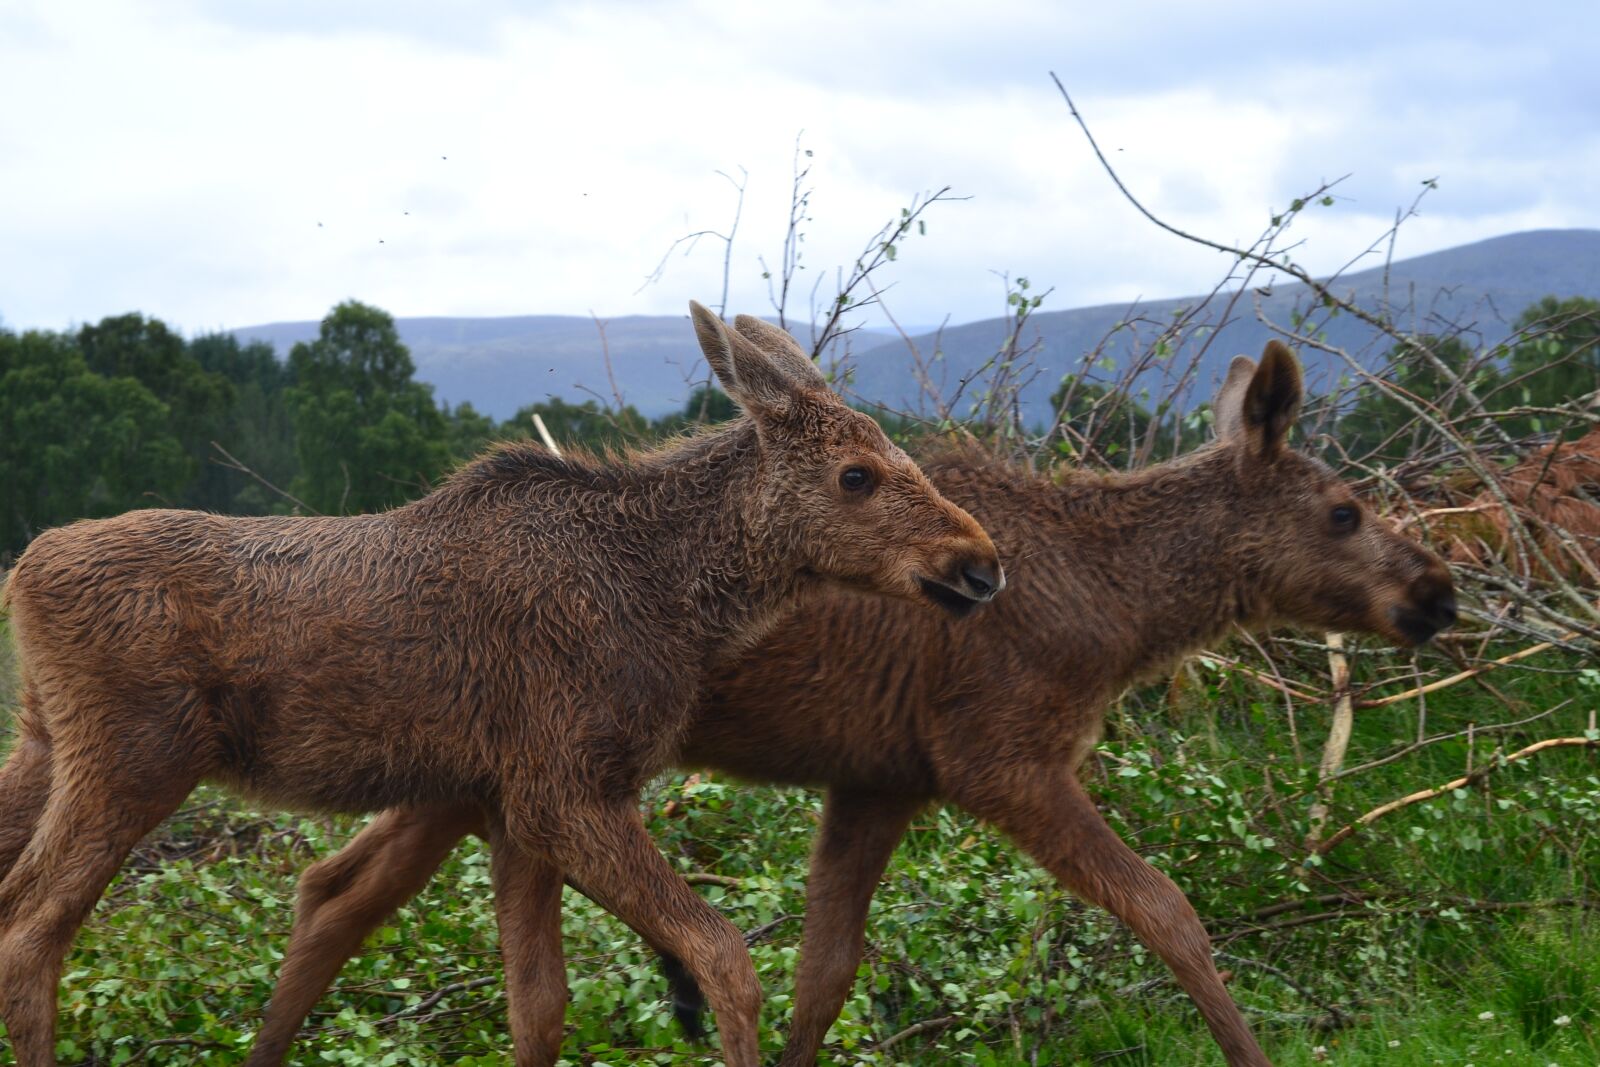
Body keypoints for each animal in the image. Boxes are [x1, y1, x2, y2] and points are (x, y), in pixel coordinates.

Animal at [0, 304, 1006, 1067]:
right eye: (855, 473)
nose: (981, 560)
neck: (674, 597)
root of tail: (22, 569)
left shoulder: (509, 803)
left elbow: (540, 1005)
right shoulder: (562, 789)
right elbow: (723, 953)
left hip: (46, 744)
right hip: (133, 757)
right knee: (32, 931)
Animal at [232, 339, 1457, 1067]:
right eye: (1344, 512)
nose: (1437, 591)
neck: (1118, 610)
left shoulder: (877, 781)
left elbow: (823, 975)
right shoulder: (998, 758)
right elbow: (1169, 910)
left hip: (464, 772)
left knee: (333, 889)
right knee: (345, 890)